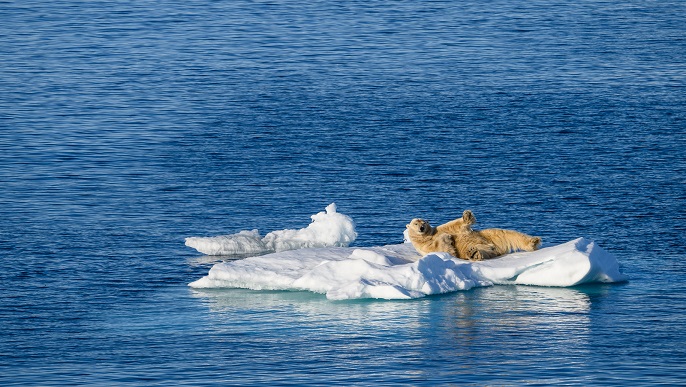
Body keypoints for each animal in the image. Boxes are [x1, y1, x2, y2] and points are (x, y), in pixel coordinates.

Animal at [408, 211, 544, 262]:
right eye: (416, 223)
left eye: (424, 222)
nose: (421, 228)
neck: (426, 236)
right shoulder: (424, 245)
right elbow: (439, 247)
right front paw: (448, 242)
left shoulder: (436, 230)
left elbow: (451, 226)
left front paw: (467, 216)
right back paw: (474, 254)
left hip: (490, 235)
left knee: (509, 234)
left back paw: (533, 241)